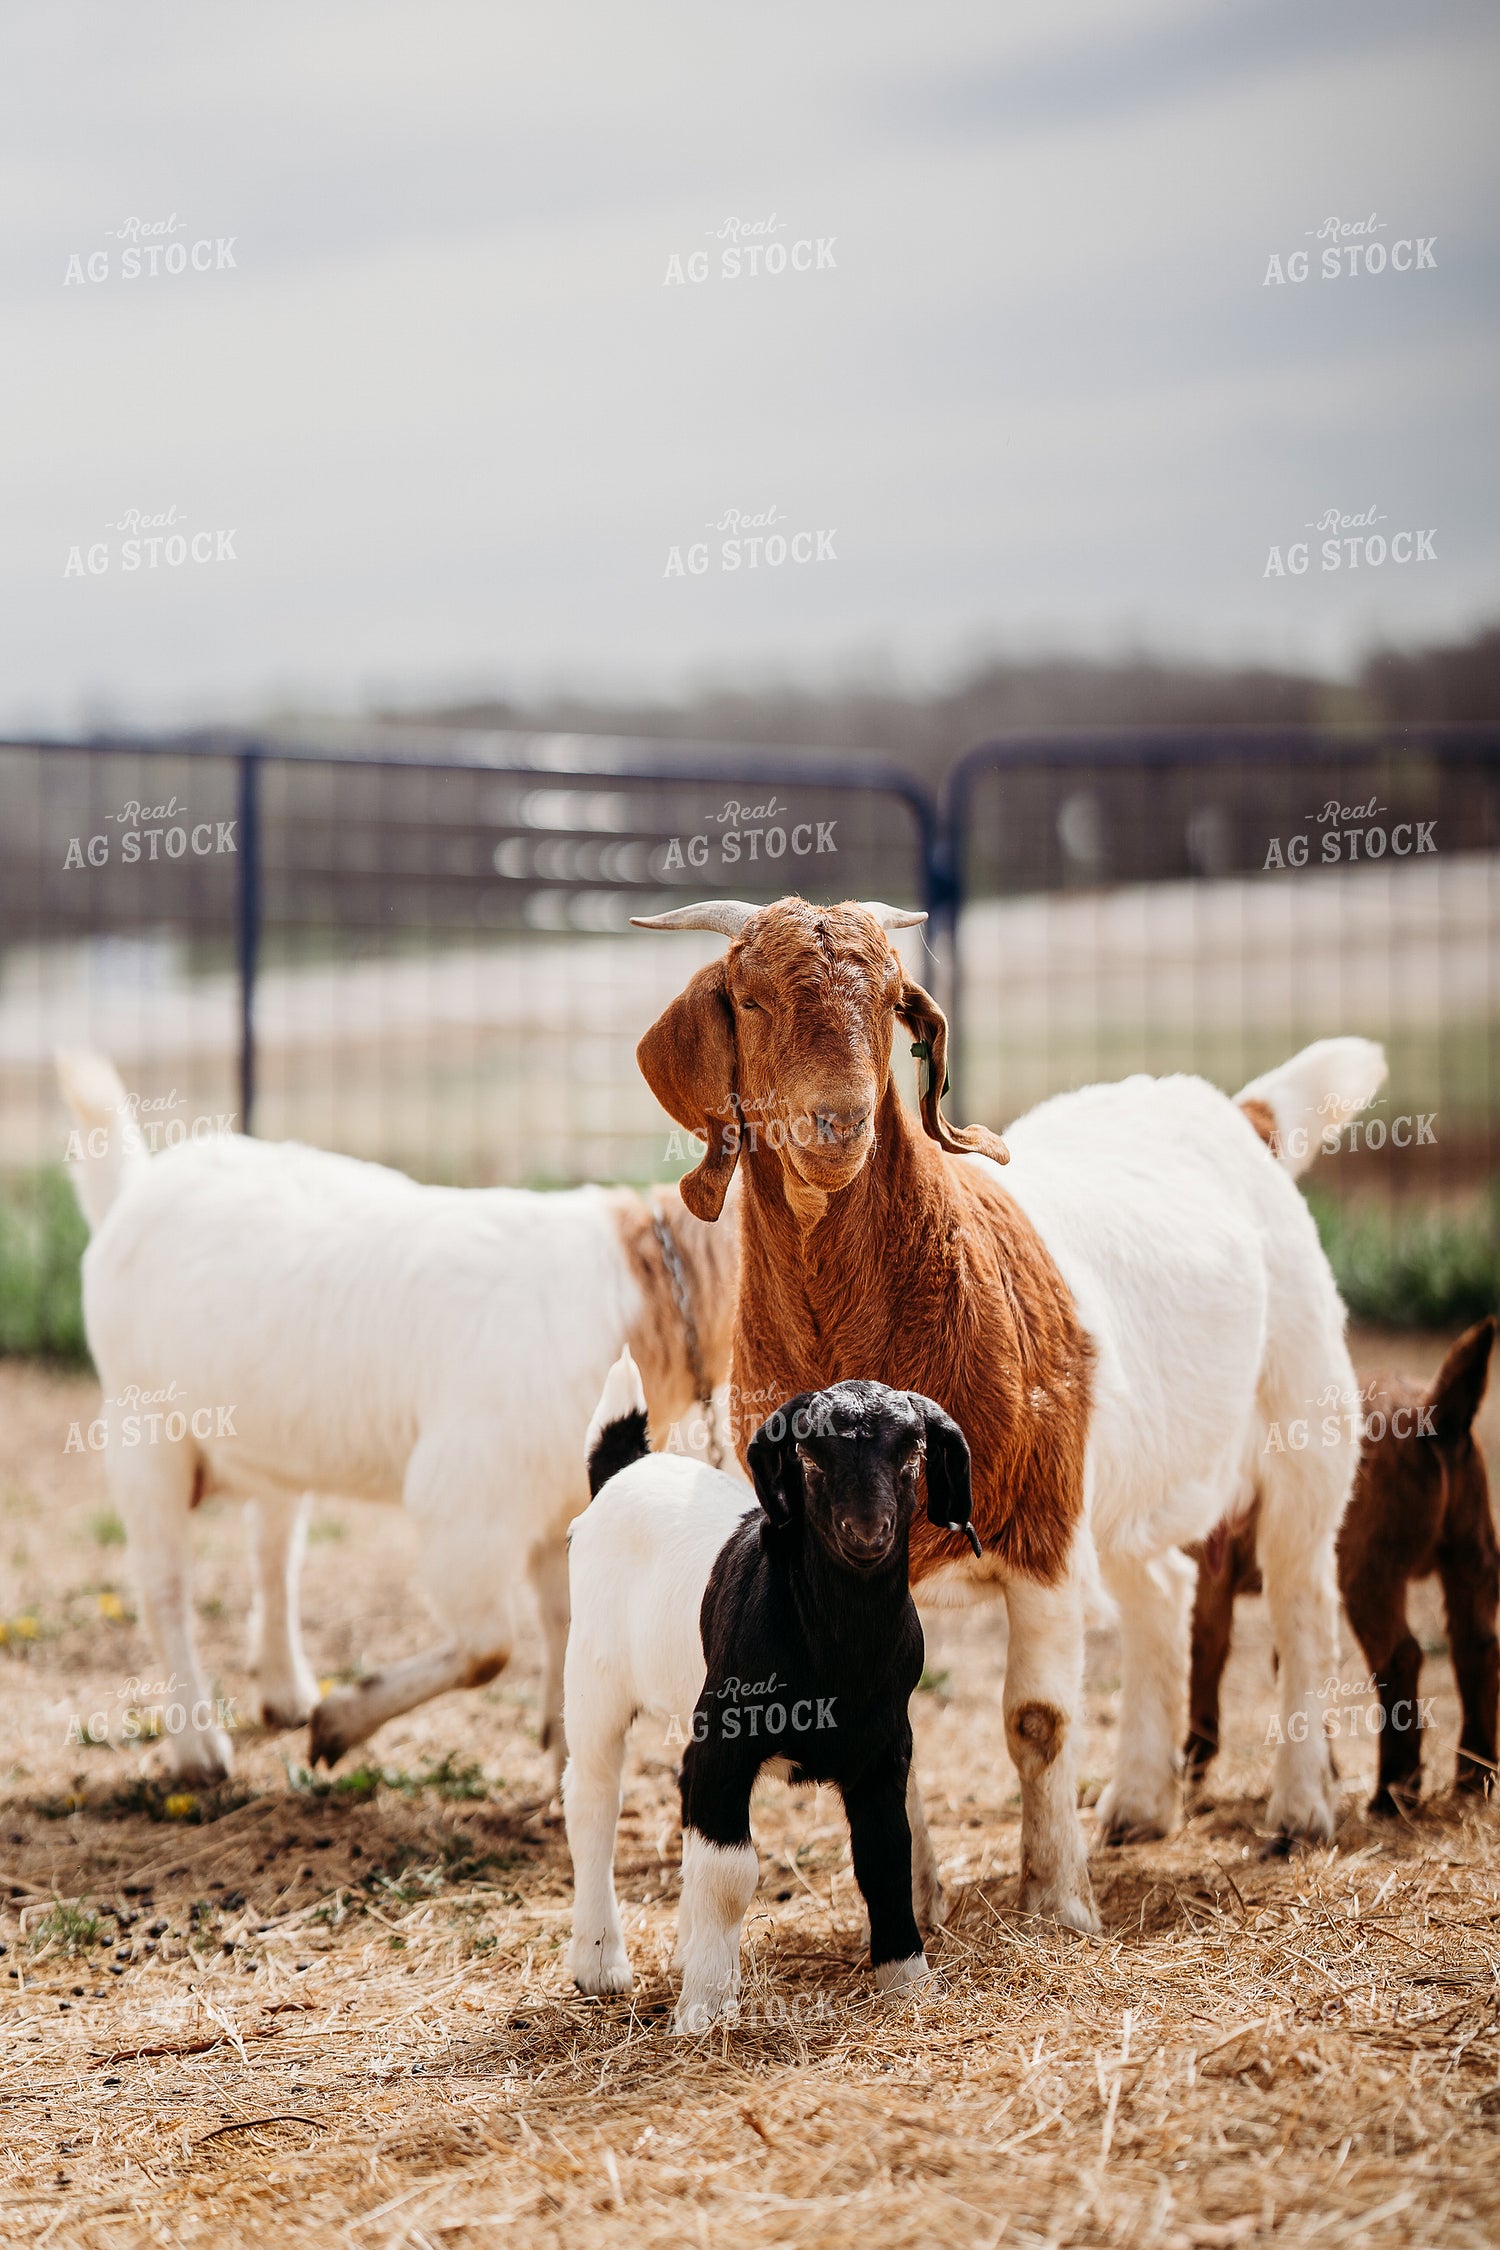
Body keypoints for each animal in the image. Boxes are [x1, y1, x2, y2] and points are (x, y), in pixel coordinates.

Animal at [56, 1049, 737, 1786]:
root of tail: (132, 1188)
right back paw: (199, 1748)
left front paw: (561, 1755)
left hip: (269, 1452)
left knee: (273, 1558)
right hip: (143, 1432)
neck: (651, 1291)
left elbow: (565, 1622)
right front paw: (341, 1722)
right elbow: (488, 1647)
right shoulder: (466, 1500)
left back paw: (286, 1691)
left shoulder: (562, 1499)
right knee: (165, 1589)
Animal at [564, 1346, 976, 2029]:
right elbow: (730, 1871)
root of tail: (627, 1466)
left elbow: (886, 1854)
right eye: (809, 1456)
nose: (867, 1532)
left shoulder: (886, 1745)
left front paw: (909, 1982)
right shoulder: (730, 1739)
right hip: (595, 1677)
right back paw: (600, 1964)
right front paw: (706, 2006)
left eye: (913, 1452)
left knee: (682, 1789)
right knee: (593, 1799)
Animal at [631, 896, 1386, 1932]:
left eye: (893, 1000)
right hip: (1123, 1479)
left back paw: (1301, 1810)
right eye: (747, 999)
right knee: (1164, 1592)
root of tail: (1236, 1112)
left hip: (1304, 1419)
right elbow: (890, 1724)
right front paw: (915, 1899)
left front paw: (1058, 1904)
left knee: (1304, 1600)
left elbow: (1039, 1721)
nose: (838, 1120)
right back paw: (1140, 1806)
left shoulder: (1041, 1525)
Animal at [1186, 1317, 1497, 1812]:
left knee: (1400, 1654)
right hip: (1472, 1549)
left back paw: (1392, 1794)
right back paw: (1473, 1781)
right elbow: (1293, 1660)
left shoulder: (1206, 1570)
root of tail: (1432, 1412)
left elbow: (1206, 1650)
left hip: (1371, 1567)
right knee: (1477, 1645)